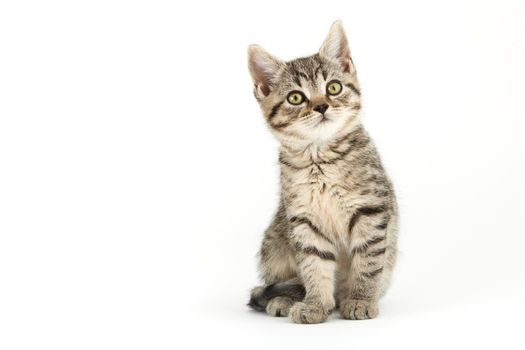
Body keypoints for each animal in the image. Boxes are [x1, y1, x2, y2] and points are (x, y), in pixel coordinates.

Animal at [246, 20, 398, 324]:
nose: (321, 105)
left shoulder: (371, 210)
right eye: (295, 97)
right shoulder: (304, 220)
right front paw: (315, 304)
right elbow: (314, 265)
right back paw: (285, 299)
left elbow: (368, 261)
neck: (321, 158)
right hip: (273, 243)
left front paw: (361, 299)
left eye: (334, 87)